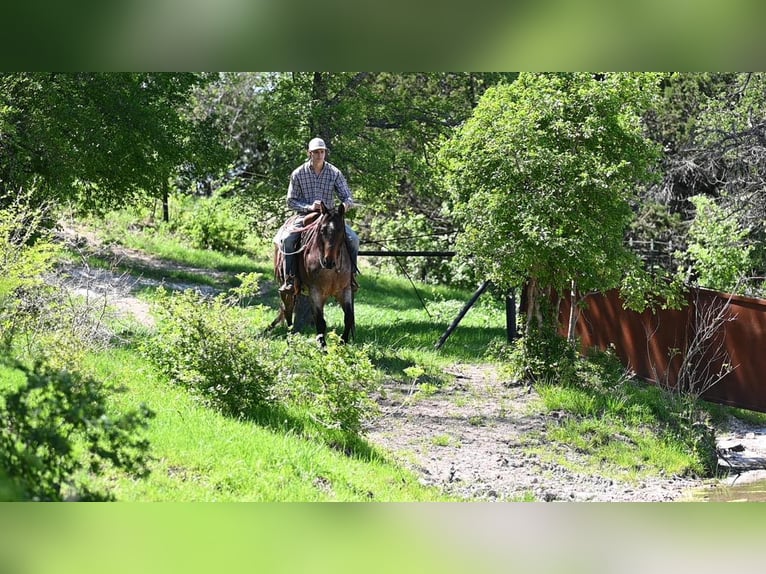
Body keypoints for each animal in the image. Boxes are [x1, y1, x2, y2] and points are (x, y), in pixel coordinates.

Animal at [272, 202, 356, 346]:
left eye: (341, 230)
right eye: (322, 230)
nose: (328, 261)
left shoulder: (345, 290)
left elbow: (349, 317)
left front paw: (342, 343)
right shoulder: (316, 291)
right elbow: (320, 322)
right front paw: (323, 347)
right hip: (286, 290)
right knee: (288, 311)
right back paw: (291, 339)